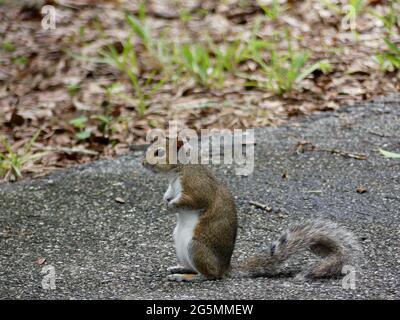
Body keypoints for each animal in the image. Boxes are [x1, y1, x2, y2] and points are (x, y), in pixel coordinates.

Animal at [142, 138, 360, 282]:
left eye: (159, 152)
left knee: (209, 275)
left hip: (196, 247)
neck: (178, 170)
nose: (143, 163)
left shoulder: (197, 185)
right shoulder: (173, 186)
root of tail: (225, 268)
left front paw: (171, 205)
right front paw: (166, 199)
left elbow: (195, 200)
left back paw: (186, 277)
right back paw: (179, 268)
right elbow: (169, 193)